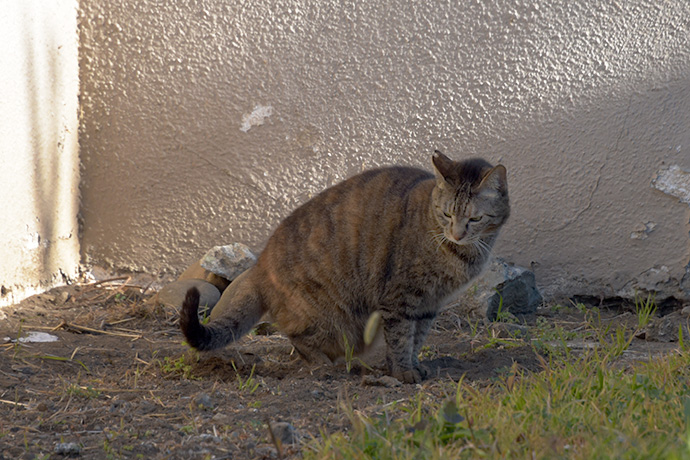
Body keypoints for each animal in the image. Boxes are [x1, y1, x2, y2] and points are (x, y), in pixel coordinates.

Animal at [180, 150, 508, 380]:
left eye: (475, 218)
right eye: (446, 213)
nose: (457, 233)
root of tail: (259, 266)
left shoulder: (429, 303)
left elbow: (417, 338)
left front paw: (415, 366)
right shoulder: (400, 299)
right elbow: (401, 338)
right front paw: (403, 372)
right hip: (332, 318)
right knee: (299, 339)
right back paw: (326, 366)